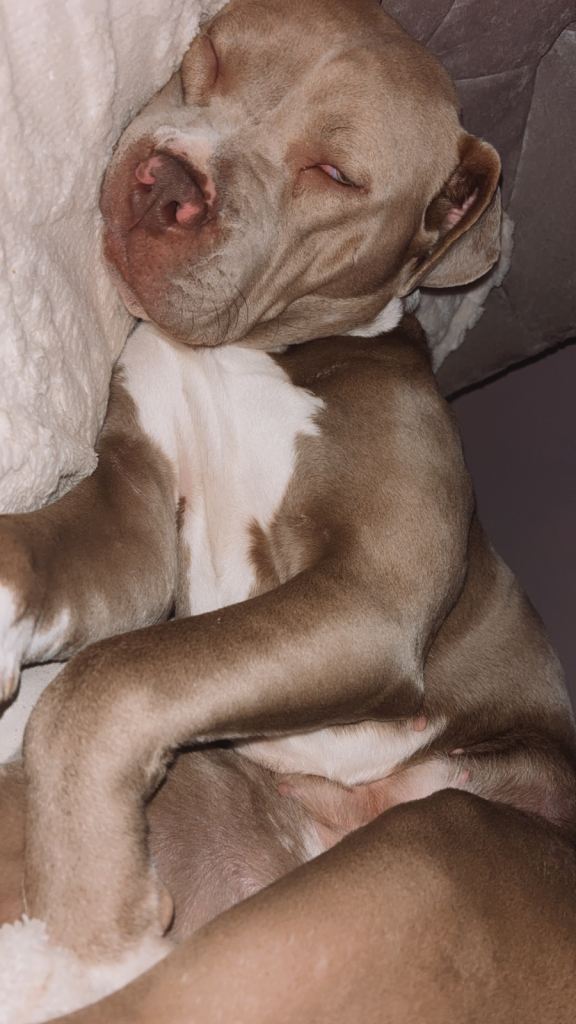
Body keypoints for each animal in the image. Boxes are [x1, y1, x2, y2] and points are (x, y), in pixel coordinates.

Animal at [0, 0, 575, 1010]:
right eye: (204, 57)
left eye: (337, 173)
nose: (168, 181)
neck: (247, 354)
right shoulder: (134, 517)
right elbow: (40, 560)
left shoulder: (367, 598)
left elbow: (111, 679)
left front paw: (93, 925)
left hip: (440, 843)